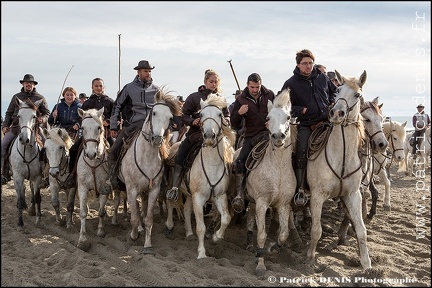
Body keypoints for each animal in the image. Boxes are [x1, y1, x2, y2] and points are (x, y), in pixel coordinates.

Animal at [9, 98, 44, 230]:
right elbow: (19, 198)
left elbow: (37, 197)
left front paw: (38, 219)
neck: (27, 152)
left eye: (34, 116)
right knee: (20, 191)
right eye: (18, 115)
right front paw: (20, 223)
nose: (24, 139)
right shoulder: (18, 177)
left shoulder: (37, 177)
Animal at [75, 107, 111, 251]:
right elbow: (83, 212)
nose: (91, 154)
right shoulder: (82, 187)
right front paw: (82, 240)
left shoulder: (104, 189)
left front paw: (101, 231)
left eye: (99, 128)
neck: (93, 164)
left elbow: (101, 211)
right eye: (83, 127)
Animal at [117, 88, 181, 254]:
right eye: (154, 113)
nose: (157, 138)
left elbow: (149, 218)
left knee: (143, 207)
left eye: (170, 117)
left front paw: (147, 245)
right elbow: (134, 217)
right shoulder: (131, 188)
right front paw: (133, 235)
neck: (146, 157)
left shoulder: (154, 189)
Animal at [308, 70, 372, 270]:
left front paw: (367, 265)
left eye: (357, 95)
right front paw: (309, 258)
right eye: (337, 91)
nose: (336, 113)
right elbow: (316, 230)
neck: (341, 157)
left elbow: (361, 230)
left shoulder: (353, 195)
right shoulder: (317, 196)